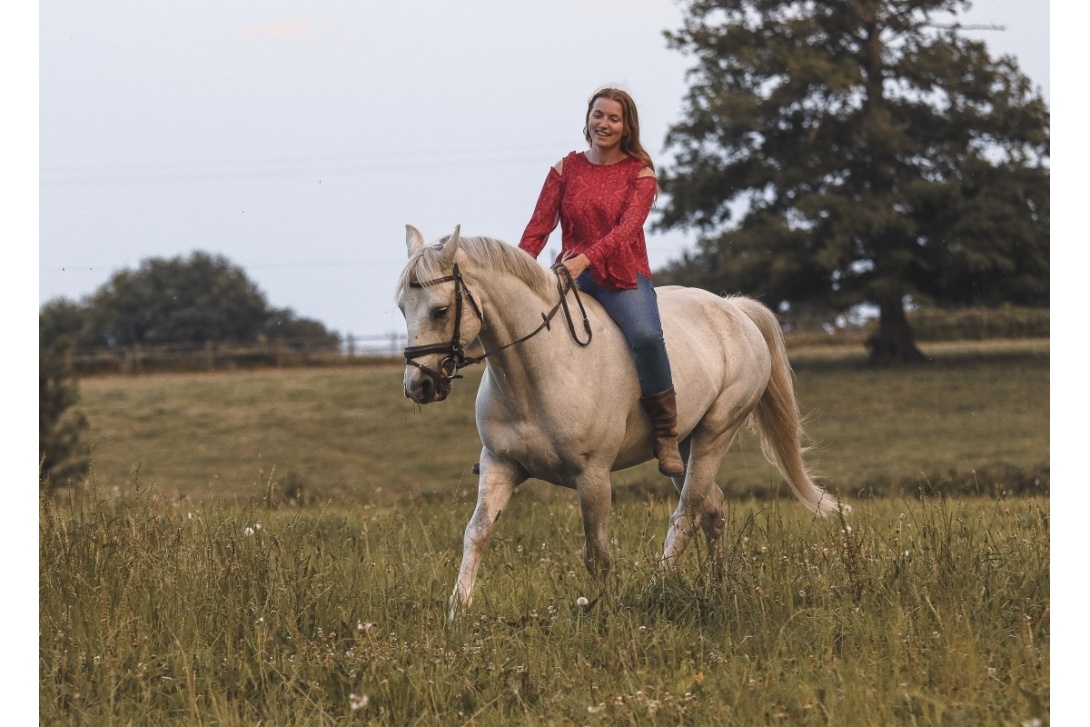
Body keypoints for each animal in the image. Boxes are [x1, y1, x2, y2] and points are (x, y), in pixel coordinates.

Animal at [396, 224, 845, 619]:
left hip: (717, 433)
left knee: (687, 514)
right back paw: (719, 585)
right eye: (402, 308)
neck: (539, 370)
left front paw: (604, 611)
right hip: (682, 447)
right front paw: (457, 612)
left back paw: (654, 589)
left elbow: (597, 554)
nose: (419, 385)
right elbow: (477, 532)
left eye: (440, 310)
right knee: (711, 507)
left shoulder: (592, 476)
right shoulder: (499, 465)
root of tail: (734, 309)